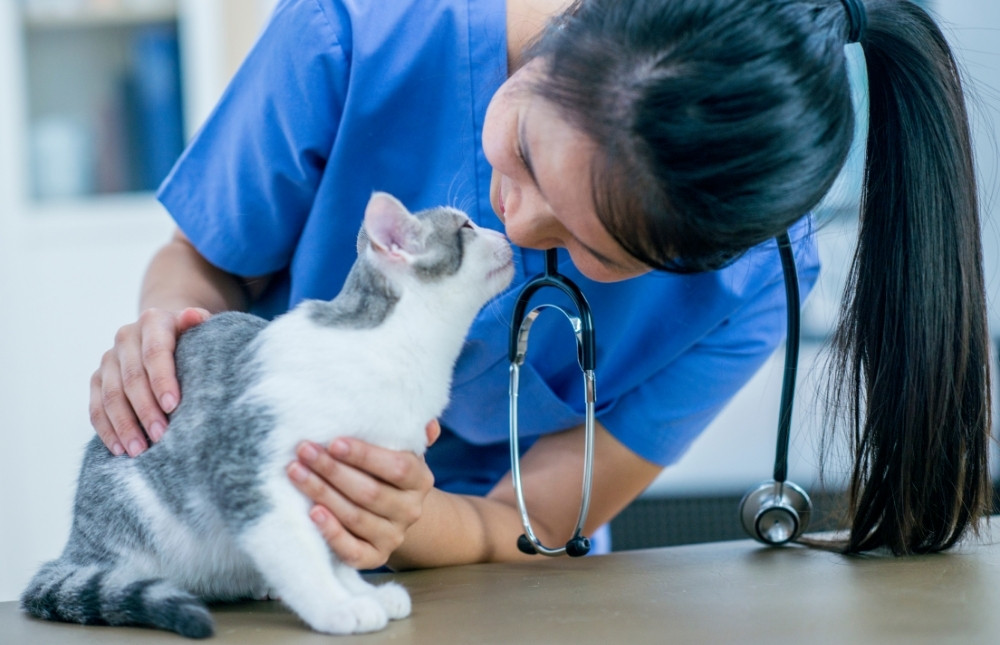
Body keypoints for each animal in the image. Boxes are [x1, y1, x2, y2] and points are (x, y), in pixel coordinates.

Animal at [19, 190, 516, 632]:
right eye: (466, 227)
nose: (502, 229)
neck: (400, 350)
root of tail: (79, 544)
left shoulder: (339, 488)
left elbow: (336, 551)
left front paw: (356, 590)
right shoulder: (248, 468)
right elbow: (300, 550)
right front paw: (336, 606)